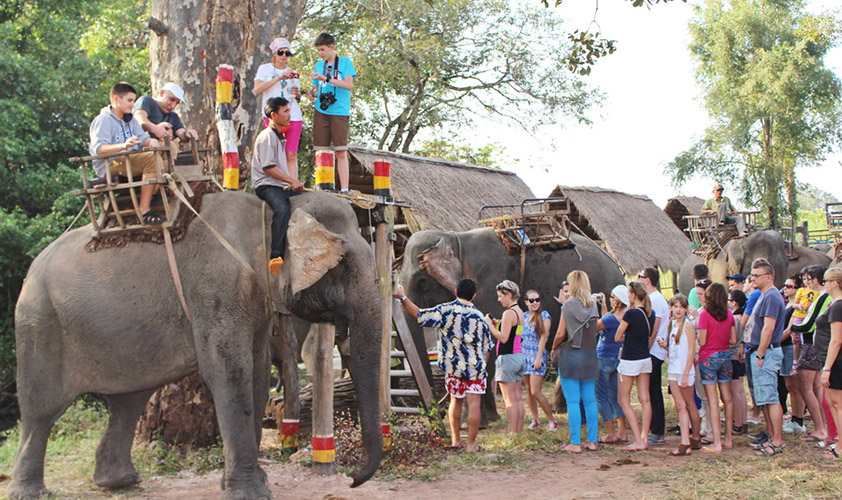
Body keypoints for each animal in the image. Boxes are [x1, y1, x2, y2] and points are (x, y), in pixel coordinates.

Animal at [9, 191, 382, 500]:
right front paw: (249, 493)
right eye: (342, 264)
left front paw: (248, 483)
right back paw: (31, 493)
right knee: (41, 407)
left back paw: (119, 482)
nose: (352, 479)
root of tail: (33, 267)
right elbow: (229, 370)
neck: (269, 212)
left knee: (128, 401)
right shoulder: (216, 289)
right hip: (39, 322)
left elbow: (258, 369)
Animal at [399, 228, 625, 418]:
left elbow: (490, 344)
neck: (453, 238)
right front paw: (488, 419)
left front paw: (476, 421)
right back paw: (561, 409)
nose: (438, 411)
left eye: (422, 282)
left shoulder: (489, 282)